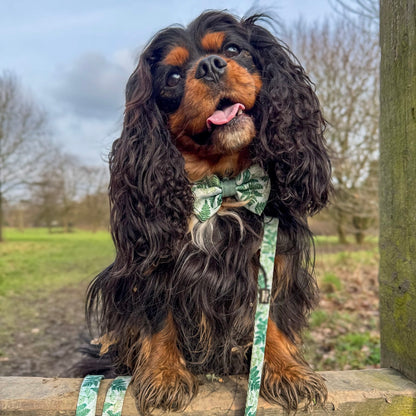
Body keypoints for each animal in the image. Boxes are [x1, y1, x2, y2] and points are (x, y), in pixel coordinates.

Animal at [81, 10, 332, 416]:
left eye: (232, 50)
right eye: (172, 77)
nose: (211, 66)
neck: (222, 185)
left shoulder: (275, 253)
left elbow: (272, 316)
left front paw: (287, 371)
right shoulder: (151, 265)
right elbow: (157, 318)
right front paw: (164, 375)